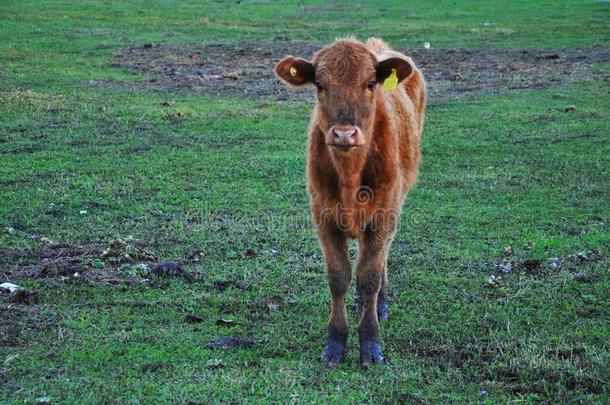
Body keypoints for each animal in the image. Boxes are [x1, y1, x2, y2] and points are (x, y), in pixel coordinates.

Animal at [274, 38, 426, 364]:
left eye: (370, 83)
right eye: (319, 84)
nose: (344, 134)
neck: (350, 176)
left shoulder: (384, 215)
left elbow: (369, 275)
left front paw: (370, 342)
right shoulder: (323, 217)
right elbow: (339, 276)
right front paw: (335, 343)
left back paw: (380, 303)